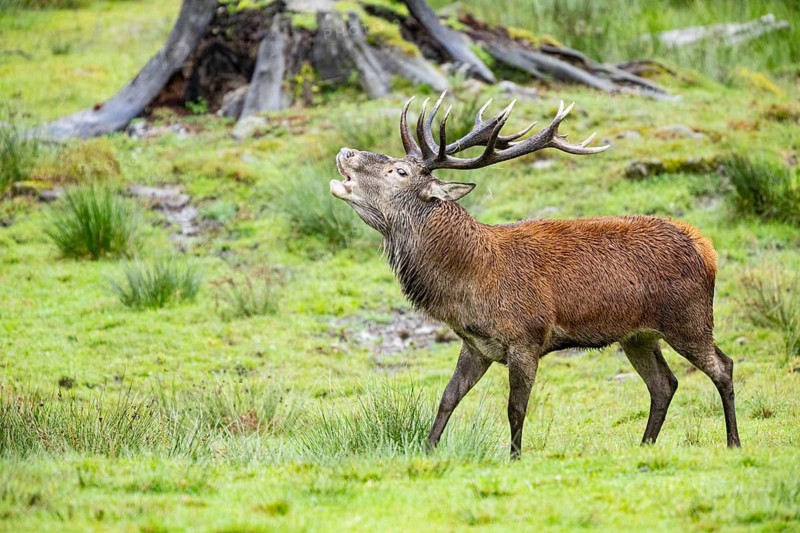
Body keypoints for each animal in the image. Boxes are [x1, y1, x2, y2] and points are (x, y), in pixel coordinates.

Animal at [329, 92, 741, 459]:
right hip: (638, 335)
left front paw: (514, 458)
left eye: (398, 171)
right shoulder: (476, 344)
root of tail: (706, 247)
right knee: (664, 384)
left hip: (688, 318)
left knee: (723, 366)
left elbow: (515, 408)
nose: (346, 152)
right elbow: (447, 397)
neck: (469, 279)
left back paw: (733, 443)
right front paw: (427, 450)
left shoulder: (527, 338)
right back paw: (645, 446)